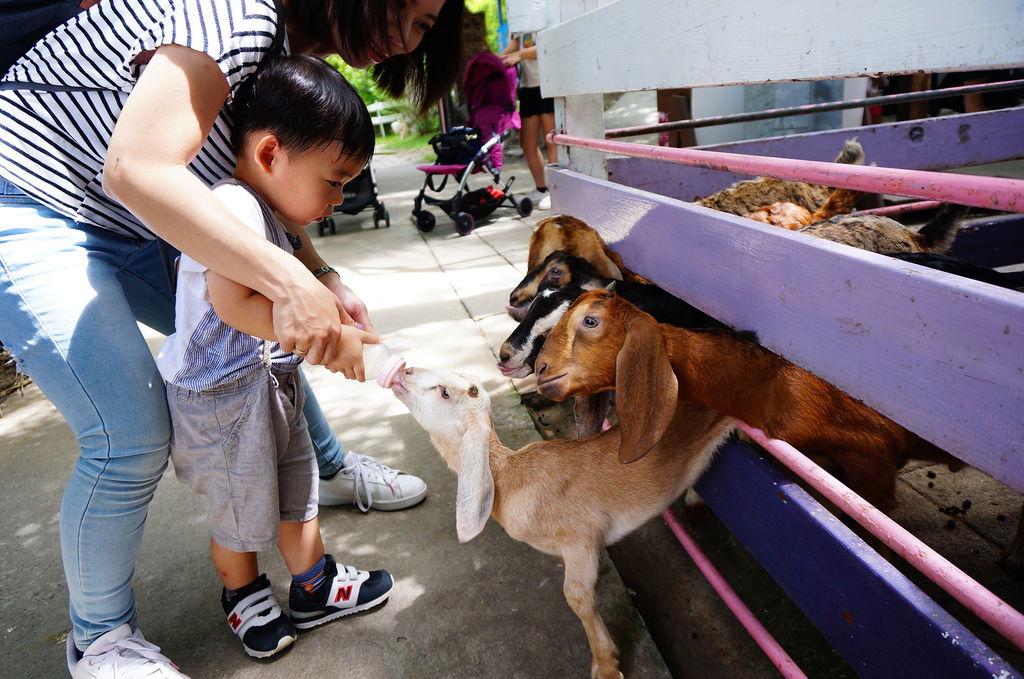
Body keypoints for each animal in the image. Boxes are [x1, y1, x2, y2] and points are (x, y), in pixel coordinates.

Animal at [387, 366, 733, 679]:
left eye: (445, 392)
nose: (403, 371)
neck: (511, 478)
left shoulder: (582, 536)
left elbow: (577, 596)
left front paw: (606, 666)